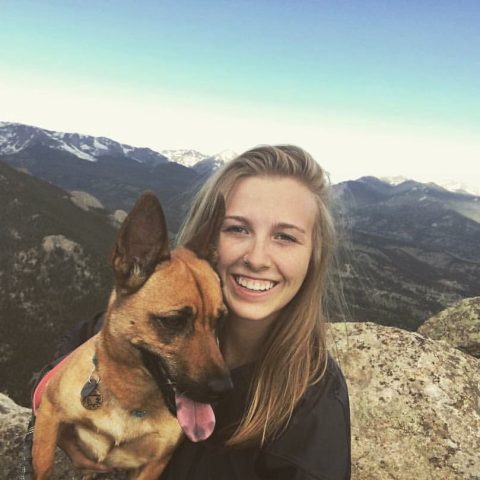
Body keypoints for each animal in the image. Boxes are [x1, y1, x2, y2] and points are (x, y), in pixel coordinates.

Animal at [30, 192, 232, 480]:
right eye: (173, 321)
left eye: (220, 320)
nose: (224, 390)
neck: (129, 398)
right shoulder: (48, 415)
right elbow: (43, 468)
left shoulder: (154, 464)